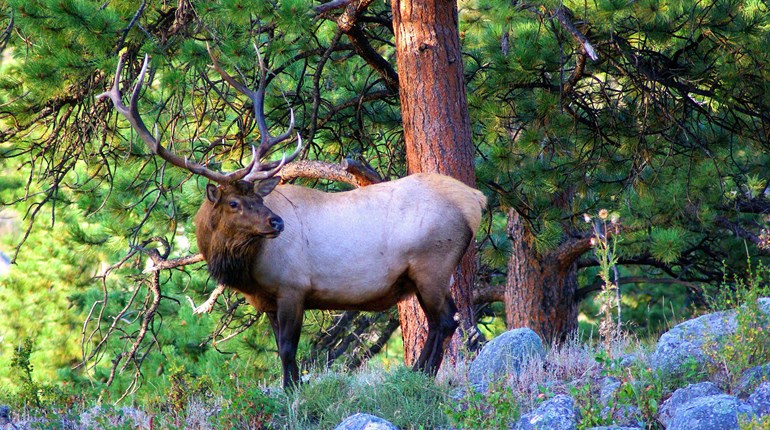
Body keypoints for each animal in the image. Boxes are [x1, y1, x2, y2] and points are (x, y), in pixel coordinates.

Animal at [98, 48, 487, 388]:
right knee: (443, 322)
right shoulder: (268, 300)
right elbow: (279, 349)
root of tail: (475, 200)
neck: (248, 269)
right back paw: (417, 373)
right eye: (235, 202)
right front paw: (292, 387)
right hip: (424, 273)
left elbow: (287, 348)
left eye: (257, 197)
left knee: (445, 321)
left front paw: (291, 394)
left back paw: (422, 375)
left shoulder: (293, 287)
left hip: (431, 263)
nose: (277, 223)